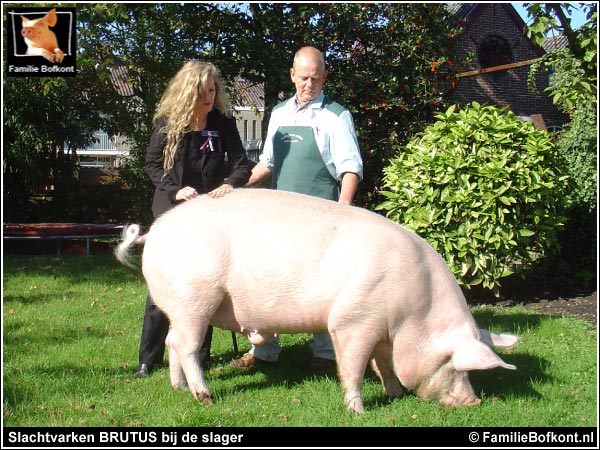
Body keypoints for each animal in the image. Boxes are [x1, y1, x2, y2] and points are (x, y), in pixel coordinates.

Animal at [115, 188, 516, 414]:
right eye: (455, 364)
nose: (474, 401)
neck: (413, 315)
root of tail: (154, 231)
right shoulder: (352, 321)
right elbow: (353, 365)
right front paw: (358, 412)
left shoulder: (381, 328)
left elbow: (384, 364)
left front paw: (396, 393)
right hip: (194, 297)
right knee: (186, 345)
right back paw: (205, 397)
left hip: (181, 305)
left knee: (172, 341)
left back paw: (178, 388)